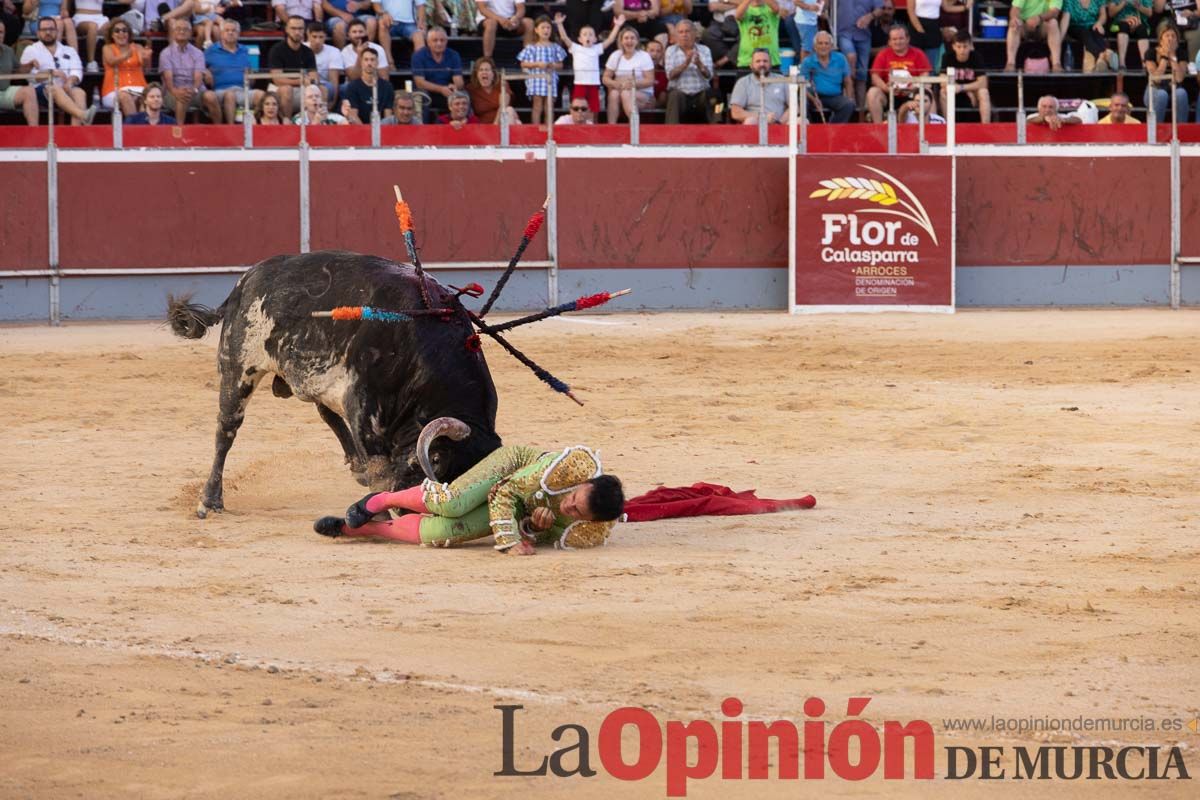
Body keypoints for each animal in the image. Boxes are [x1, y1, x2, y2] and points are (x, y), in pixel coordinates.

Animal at [169, 250, 501, 520]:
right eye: (437, 463)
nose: (410, 510)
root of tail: (244, 282)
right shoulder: (363, 406)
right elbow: (380, 468)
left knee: (324, 411)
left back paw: (356, 466)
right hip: (238, 368)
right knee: (226, 429)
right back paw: (210, 500)